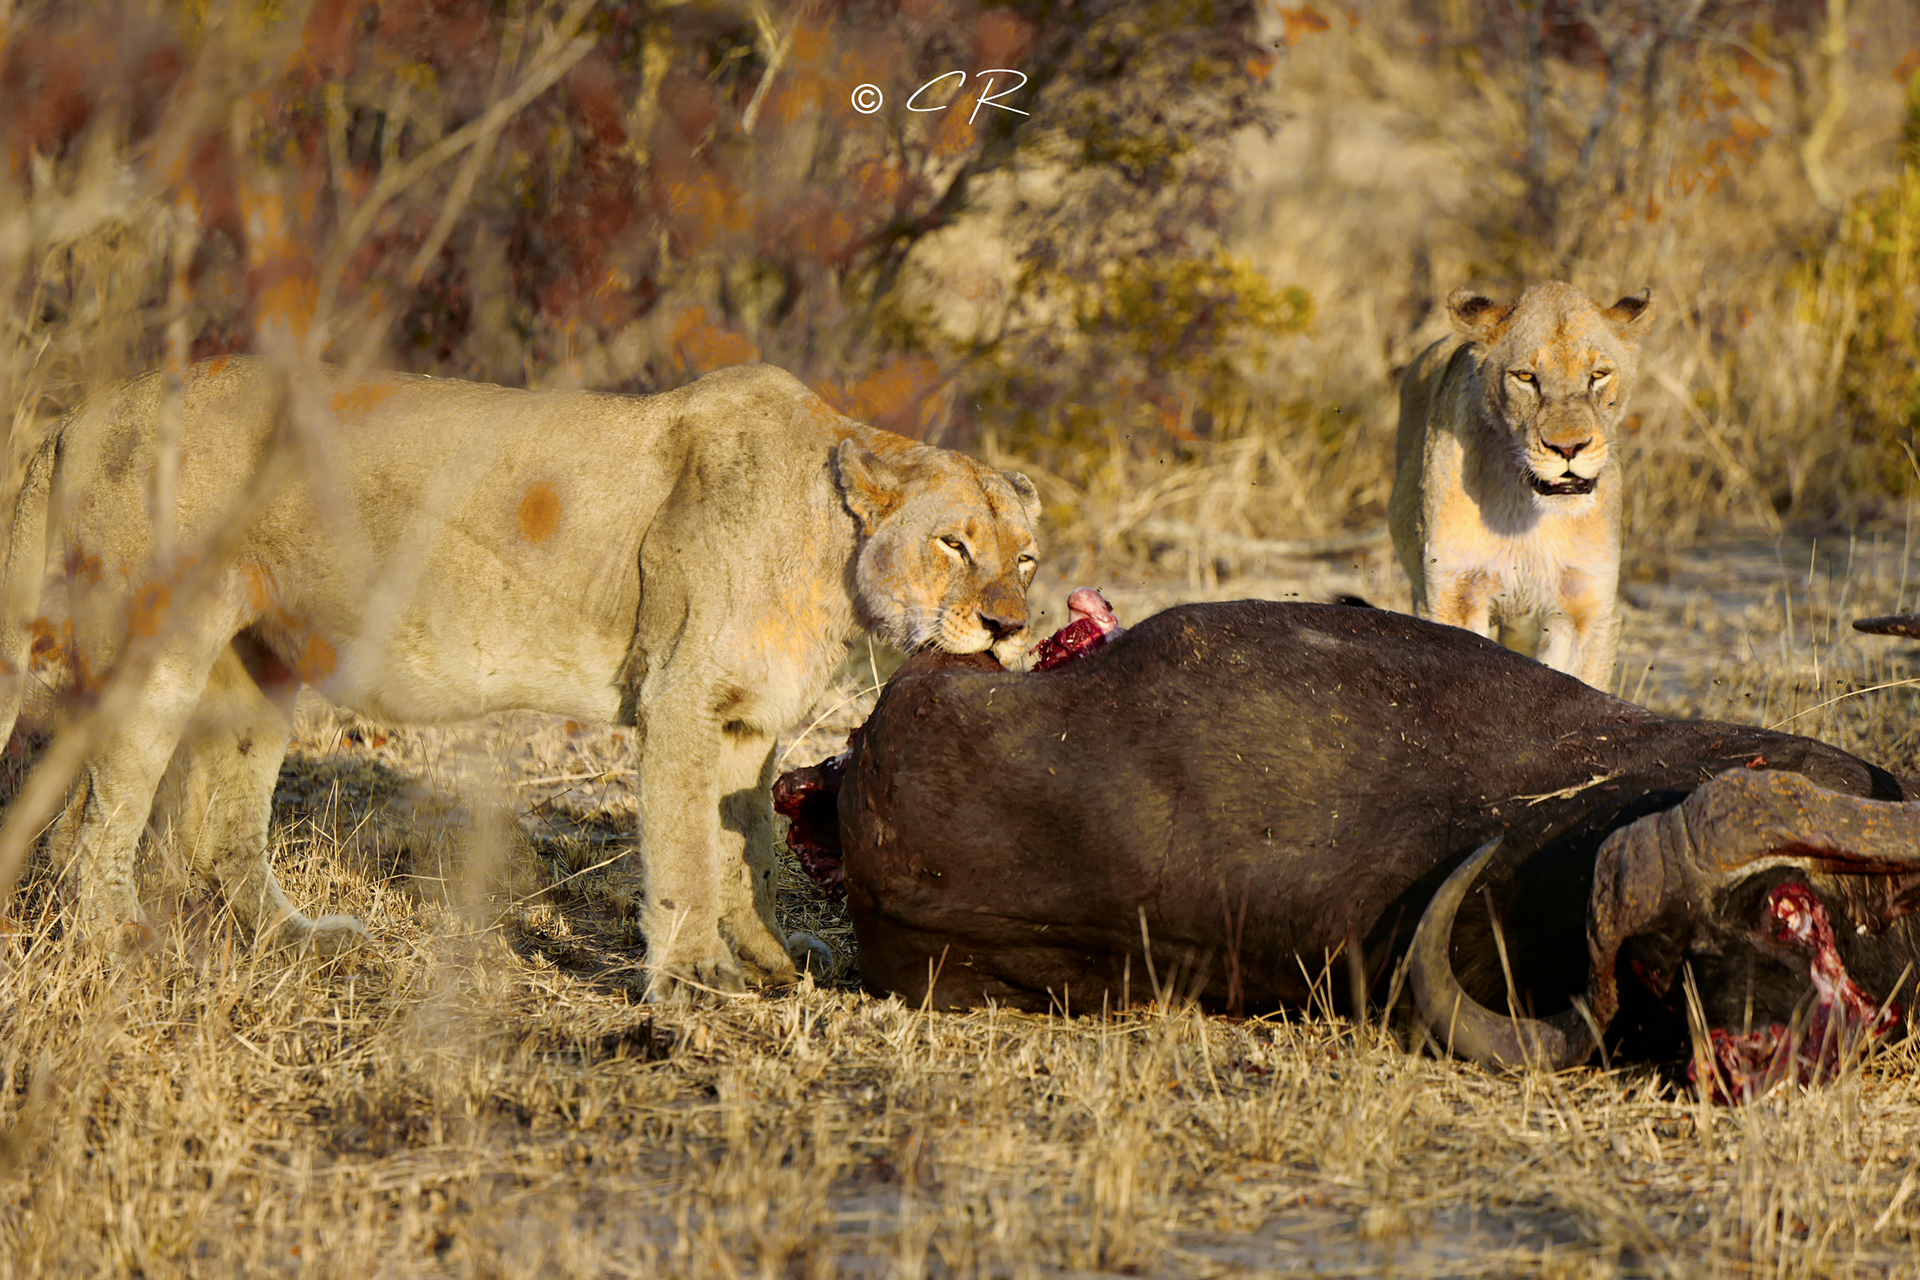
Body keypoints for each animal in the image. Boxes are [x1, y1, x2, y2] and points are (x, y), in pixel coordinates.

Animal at [0, 355, 1044, 997]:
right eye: (953, 544)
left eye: (1026, 559)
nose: (1009, 627)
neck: (831, 562)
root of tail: (75, 418)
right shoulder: (679, 697)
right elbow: (687, 849)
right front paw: (691, 979)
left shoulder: (749, 720)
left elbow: (745, 843)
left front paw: (767, 960)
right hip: (155, 645)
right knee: (92, 826)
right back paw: (123, 944)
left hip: (259, 667)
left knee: (217, 830)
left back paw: (303, 940)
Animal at [1397, 282, 1651, 690]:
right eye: (1525, 377)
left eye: (1598, 374)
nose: (1568, 448)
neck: (1527, 512)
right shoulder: (1452, 595)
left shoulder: (1585, 607)